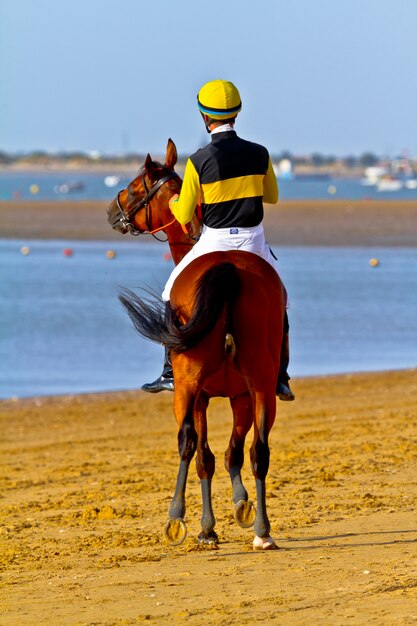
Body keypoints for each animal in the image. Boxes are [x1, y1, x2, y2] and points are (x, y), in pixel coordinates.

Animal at [107, 139, 286, 548]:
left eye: (136, 186)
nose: (112, 210)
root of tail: (230, 268)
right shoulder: (240, 395)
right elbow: (231, 453)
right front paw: (240, 506)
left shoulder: (201, 395)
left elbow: (205, 455)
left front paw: (208, 525)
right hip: (262, 384)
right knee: (259, 449)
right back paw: (263, 531)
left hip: (187, 385)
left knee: (188, 443)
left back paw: (177, 519)